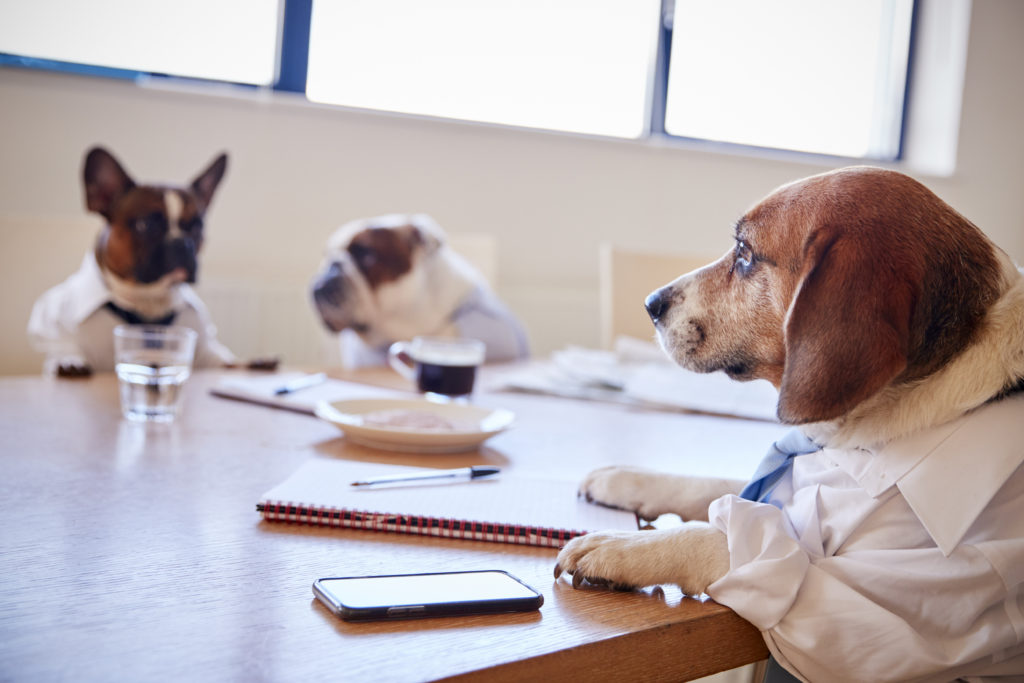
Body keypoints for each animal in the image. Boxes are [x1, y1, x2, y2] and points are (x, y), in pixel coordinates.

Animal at [561, 167, 1024, 679]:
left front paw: (620, 547)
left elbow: (719, 540)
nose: (650, 304)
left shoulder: (851, 599)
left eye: (745, 253)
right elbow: (709, 485)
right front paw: (624, 479)